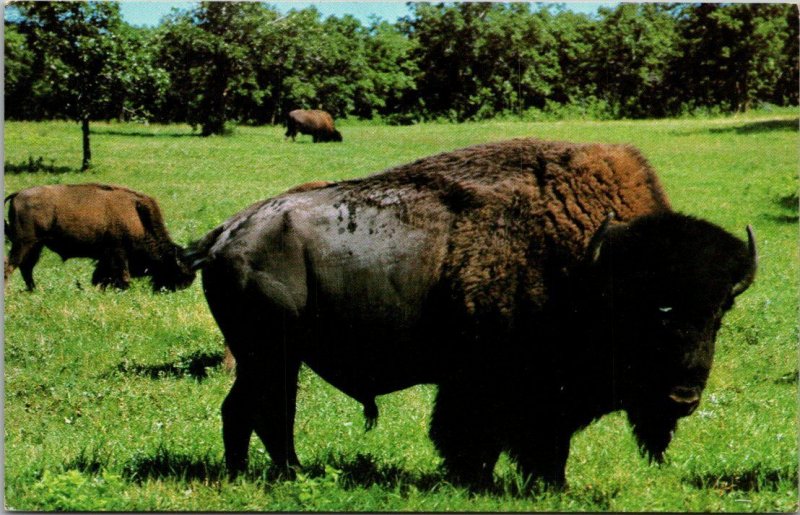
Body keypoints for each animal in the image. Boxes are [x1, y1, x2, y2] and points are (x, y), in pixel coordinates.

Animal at [4, 183, 195, 292]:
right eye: (174, 272)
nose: (169, 290)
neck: (138, 217)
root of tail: (17, 194)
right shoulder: (118, 252)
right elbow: (123, 276)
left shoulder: (106, 257)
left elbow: (101, 276)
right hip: (24, 243)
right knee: (11, 264)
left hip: (36, 245)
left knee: (26, 267)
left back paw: (34, 290)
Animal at [186, 139, 756, 490]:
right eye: (653, 307)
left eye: (720, 311)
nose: (683, 397)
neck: (589, 268)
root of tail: (227, 233)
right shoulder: (492, 387)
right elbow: (485, 436)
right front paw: (491, 480)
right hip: (270, 355)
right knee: (258, 412)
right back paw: (276, 475)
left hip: (277, 359)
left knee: (258, 412)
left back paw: (273, 473)